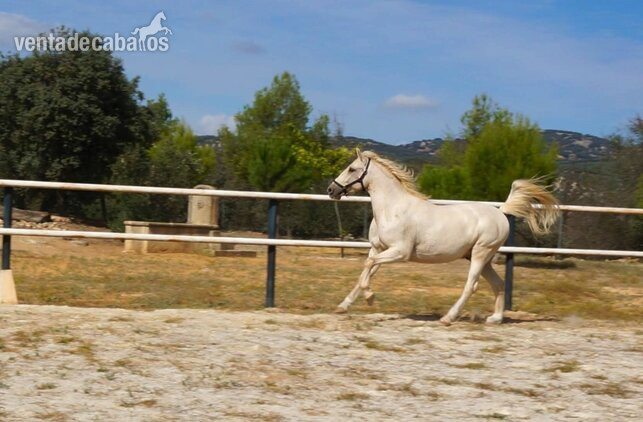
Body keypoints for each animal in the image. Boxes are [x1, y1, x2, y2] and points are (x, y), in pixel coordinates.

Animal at [327, 149, 559, 325]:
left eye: (352, 169)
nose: (331, 190)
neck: (392, 209)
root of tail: (501, 212)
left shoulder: (400, 252)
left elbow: (368, 267)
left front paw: (370, 298)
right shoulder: (378, 248)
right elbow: (365, 271)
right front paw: (343, 307)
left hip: (481, 253)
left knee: (471, 285)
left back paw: (448, 318)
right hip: (481, 258)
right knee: (499, 284)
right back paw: (495, 319)